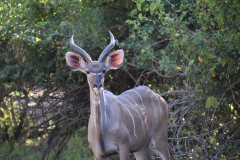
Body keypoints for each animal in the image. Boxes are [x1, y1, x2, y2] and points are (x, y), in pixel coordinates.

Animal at [65, 30, 174, 159]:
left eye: (103, 71)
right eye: (87, 71)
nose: (98, 85)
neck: (101, 131)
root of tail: (158, 97)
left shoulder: (124, 146)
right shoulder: (98, 153)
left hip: (159, 138)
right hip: (141, 147)